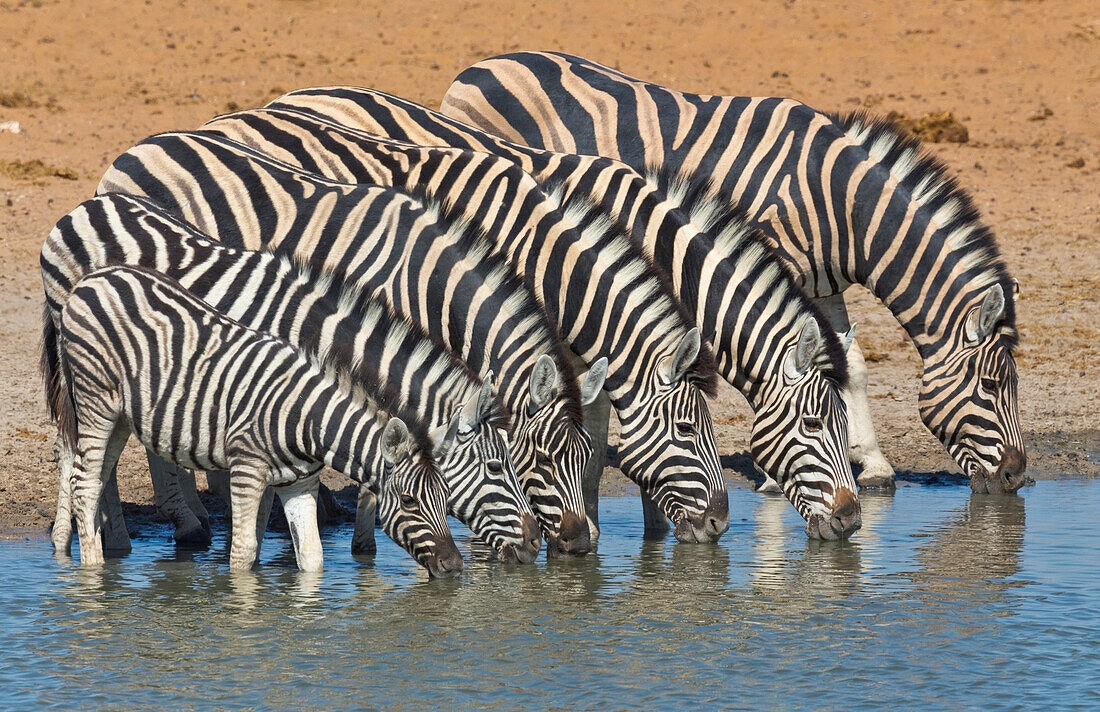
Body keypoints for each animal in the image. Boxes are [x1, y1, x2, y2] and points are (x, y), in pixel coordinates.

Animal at [46, 264, 459, 576]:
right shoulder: (246, 470)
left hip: (120, 417)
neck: (307, 419)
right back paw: (93, 574)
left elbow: (313, 558)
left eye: (446, 498)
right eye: (408, 501)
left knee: (94, 481)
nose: (454, 567)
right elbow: (243, 555)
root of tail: (95, 276)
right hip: (94, 400)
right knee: (85, 484)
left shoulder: (299, 483)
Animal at [442, 51, 1025, 495]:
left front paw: (875, 465)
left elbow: (853, 364)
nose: (1018, 479)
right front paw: (771, 477)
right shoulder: (776, 266)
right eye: (994, 385)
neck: (842, 205)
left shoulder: (822, 285)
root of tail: (479, 65)